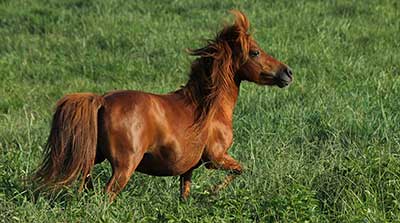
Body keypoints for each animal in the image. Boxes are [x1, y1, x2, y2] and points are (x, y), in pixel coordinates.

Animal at [34, 10, 292, 201]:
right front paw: (213, 192)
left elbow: (185, 194)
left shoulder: (189, 168)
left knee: (85, 187)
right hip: (124, 166)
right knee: (106, 195)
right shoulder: (216, 158)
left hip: (93, 158)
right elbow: (240, 169)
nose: (288, 73)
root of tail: (102, 100)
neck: (209, 108)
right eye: (255, 52)